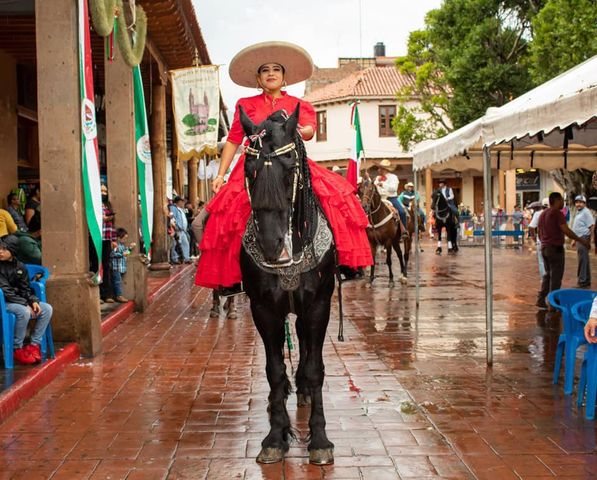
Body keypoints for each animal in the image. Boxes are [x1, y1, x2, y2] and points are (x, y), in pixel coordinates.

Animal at [237, 104, 336, 464]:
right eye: (248, 168)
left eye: (291, 165)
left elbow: (316, 368)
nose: (271, 245)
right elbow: (274, 370)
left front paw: (319, 439)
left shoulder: (319, 304)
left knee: (306, 346)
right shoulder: (264, 308)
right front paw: (275, 437)